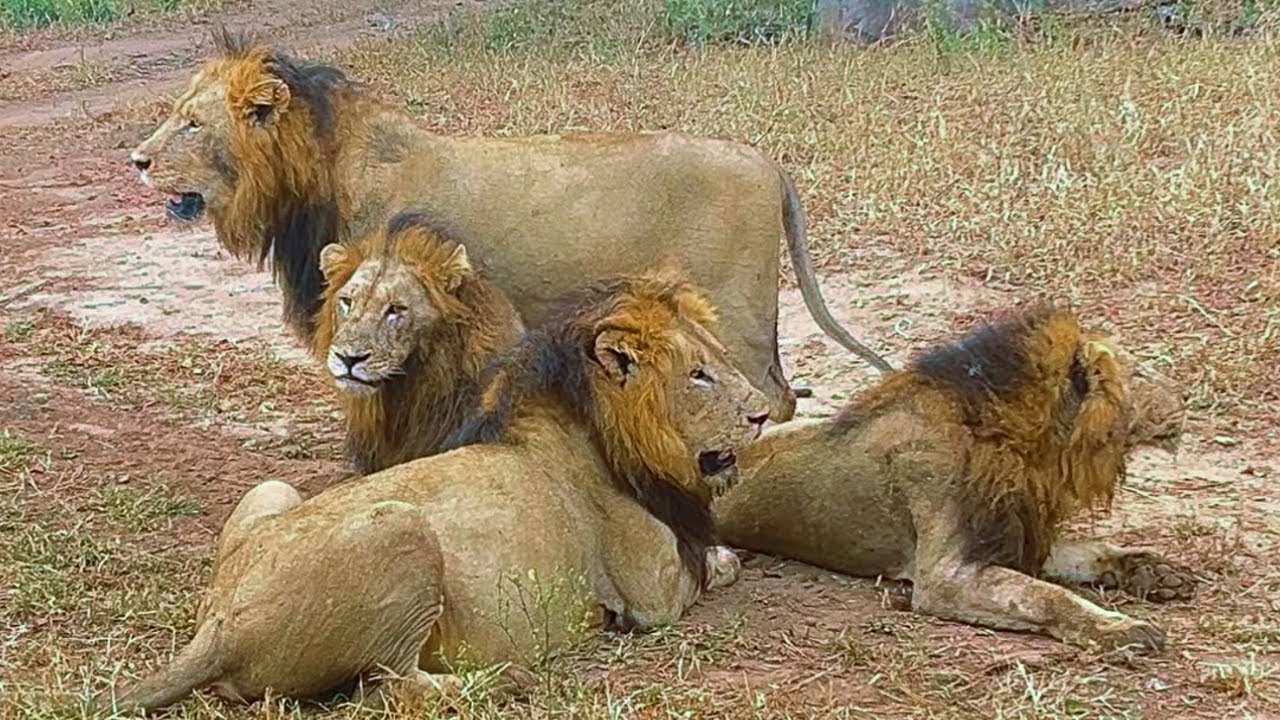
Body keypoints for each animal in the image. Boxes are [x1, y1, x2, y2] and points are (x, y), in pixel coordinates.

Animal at [93, 273, 771, 714]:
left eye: (717, 359)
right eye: (699, 375)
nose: (764, 414)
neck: (603, 432)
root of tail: (218, 625)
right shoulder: (651, 596)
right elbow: (713, 568)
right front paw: (727, 558)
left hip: (275, 490)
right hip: (399, 527)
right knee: (388, 686)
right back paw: (504, 680)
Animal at [126, 29, 892, 423]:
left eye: (191, 123)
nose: (136, 160)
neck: (315, 179)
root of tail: (768, 162)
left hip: (736, 309)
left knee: (770, 399)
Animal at [712, 306, 1197, 652]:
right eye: (1140, 373)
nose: (1187, 395)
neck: (1029, 451)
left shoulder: (1019, 537)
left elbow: (1090, 552)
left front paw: (1155, 571)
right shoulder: (946, 575)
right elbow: (1047, 596)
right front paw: (1122, 629)